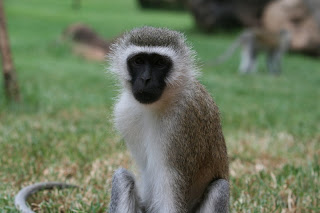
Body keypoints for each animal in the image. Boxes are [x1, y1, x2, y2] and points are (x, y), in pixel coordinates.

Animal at [109, 25, 229, 212]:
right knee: (122, 178)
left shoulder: (183, 123)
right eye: (138, 61)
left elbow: (171, 200)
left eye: (159, 63)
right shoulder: (124, 112)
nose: (145, 79)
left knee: (220, 187)